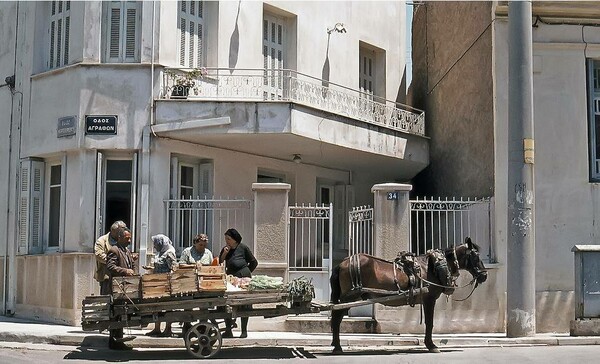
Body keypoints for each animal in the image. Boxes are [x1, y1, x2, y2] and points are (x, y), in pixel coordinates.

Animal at [328, 236, 488, 352]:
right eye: (475, 256)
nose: (484, 275)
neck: (433, 266)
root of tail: (342, 263)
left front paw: (429, 344)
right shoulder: (429, 299)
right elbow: (430, 323)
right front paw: (431, 345)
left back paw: (336, 345)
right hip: (349, 297)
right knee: (336, 319)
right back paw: (337, 346)